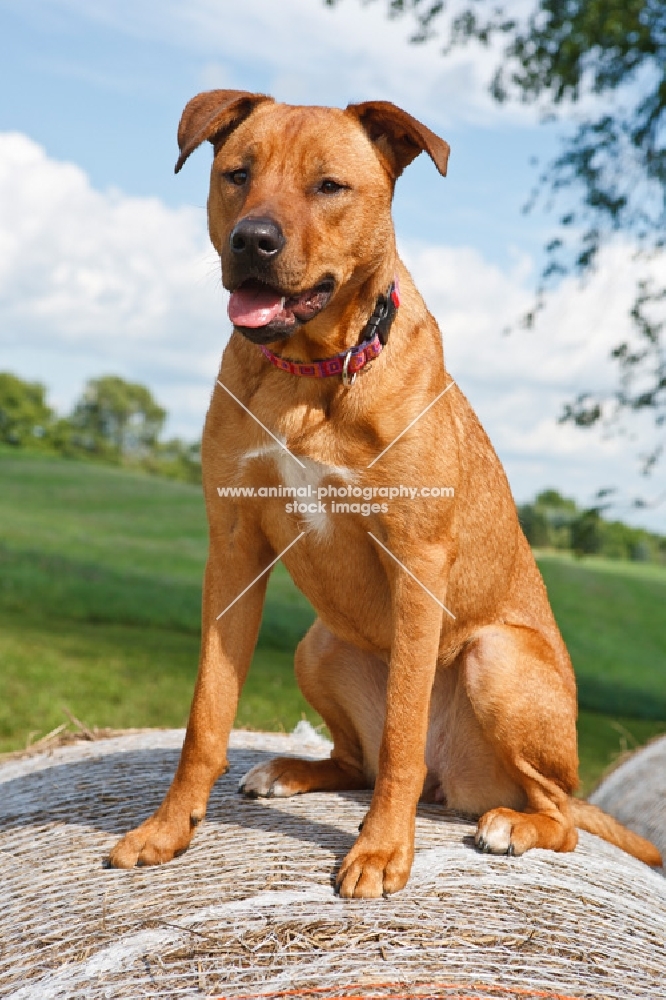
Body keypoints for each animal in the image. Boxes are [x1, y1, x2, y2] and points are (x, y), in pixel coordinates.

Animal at [106, 90, 656, 896]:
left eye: (330, 186)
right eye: (238, 174)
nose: (253, 240)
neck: (314, 372)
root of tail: (457, 787)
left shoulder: (416, 561)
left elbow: (403, 731)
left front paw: (381, 850)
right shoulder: (233, 550)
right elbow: (206, 716)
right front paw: (168, 830)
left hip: (496, 658)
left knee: (555, 813)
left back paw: (512, 825)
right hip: (318, 644)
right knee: (356, 761)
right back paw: (291, 771)